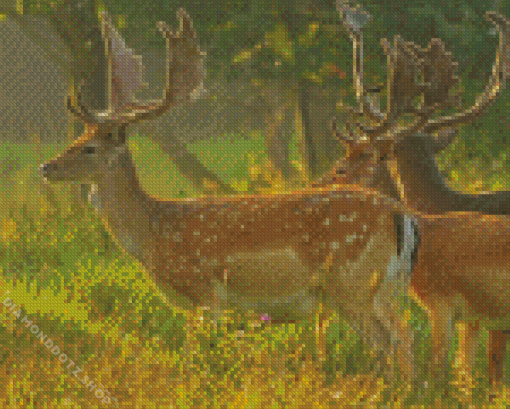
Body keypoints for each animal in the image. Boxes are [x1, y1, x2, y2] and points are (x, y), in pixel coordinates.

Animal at [314, 1, 510, 388]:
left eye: (347, 163)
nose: (317, 185)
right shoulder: (475, 317)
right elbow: (469, 377)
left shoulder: (453, 305)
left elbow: (450, 374)